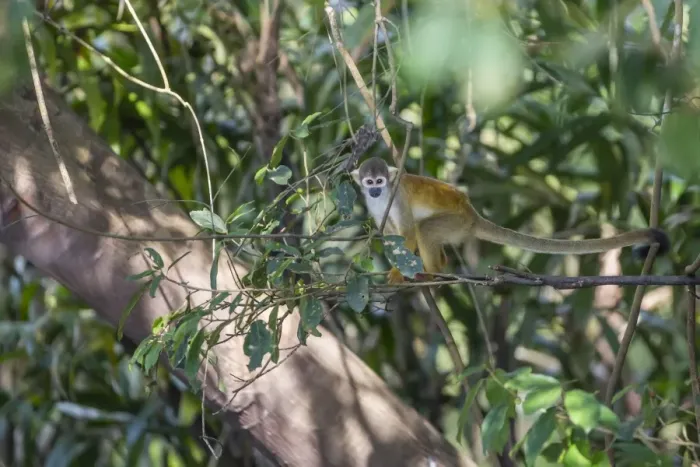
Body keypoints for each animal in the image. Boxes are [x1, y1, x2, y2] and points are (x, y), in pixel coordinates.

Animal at [351, 157, 669, 284]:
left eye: (380, 181)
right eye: (369, 182)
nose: (375, 190)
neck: (382, 196)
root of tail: (472, 213)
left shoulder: (397, 195)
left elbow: (406, 232)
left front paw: (397, 272)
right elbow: (391, 233)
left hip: (457, 222)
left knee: (424, 228)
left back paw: (432, 272)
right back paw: (437, 266)